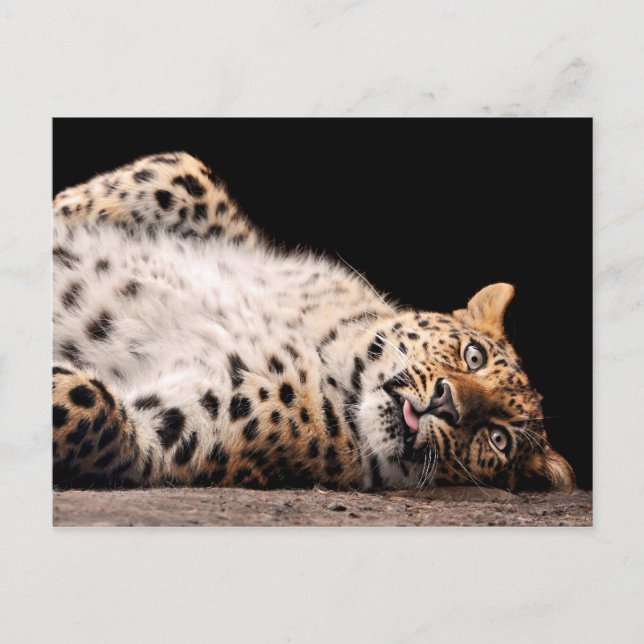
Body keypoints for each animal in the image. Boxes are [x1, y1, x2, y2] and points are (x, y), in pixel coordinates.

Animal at [52, 151, 575, 494]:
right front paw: (63, 213)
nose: (447, 403)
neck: (327, 352)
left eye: (498, 439)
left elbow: (86, 405)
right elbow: (184, 170)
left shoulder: (174, 436)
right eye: (473, 355)